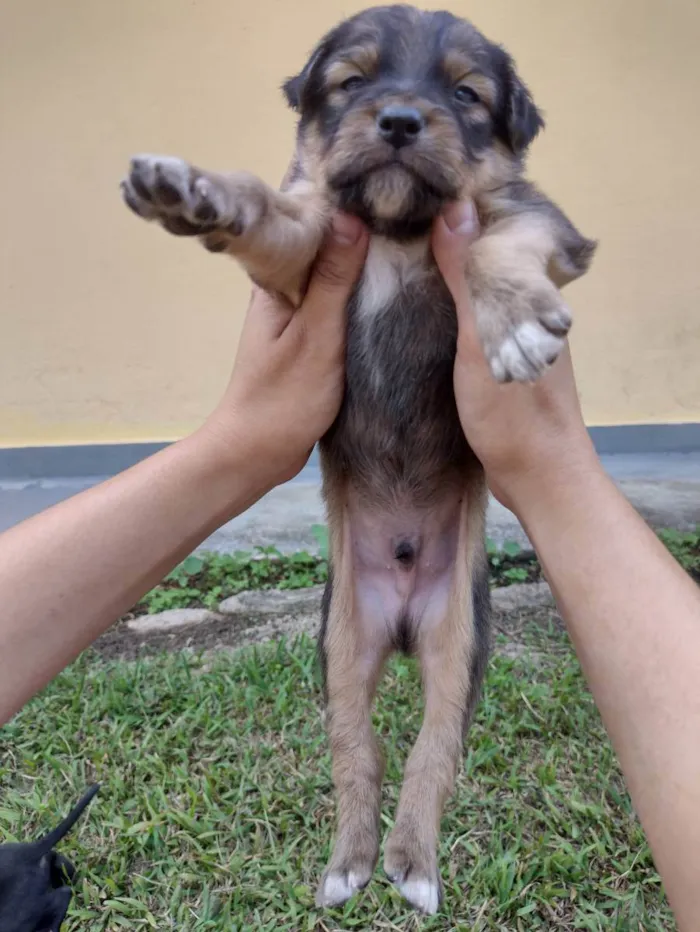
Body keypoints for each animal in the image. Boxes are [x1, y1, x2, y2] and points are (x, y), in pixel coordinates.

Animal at [120, 3, 596, 912]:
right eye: (351, 83)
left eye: (465, 94)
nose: (402, 121)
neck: (396, 231)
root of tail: (404, 622)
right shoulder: (304, 254)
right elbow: (274, 209)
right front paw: (201, 193)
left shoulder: (538, 219)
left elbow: (499, 240)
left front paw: (514, 321)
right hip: (342, 647)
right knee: (356, 751)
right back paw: (350, 863)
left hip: (458, 644)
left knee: (433, 750)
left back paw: (413, 866)